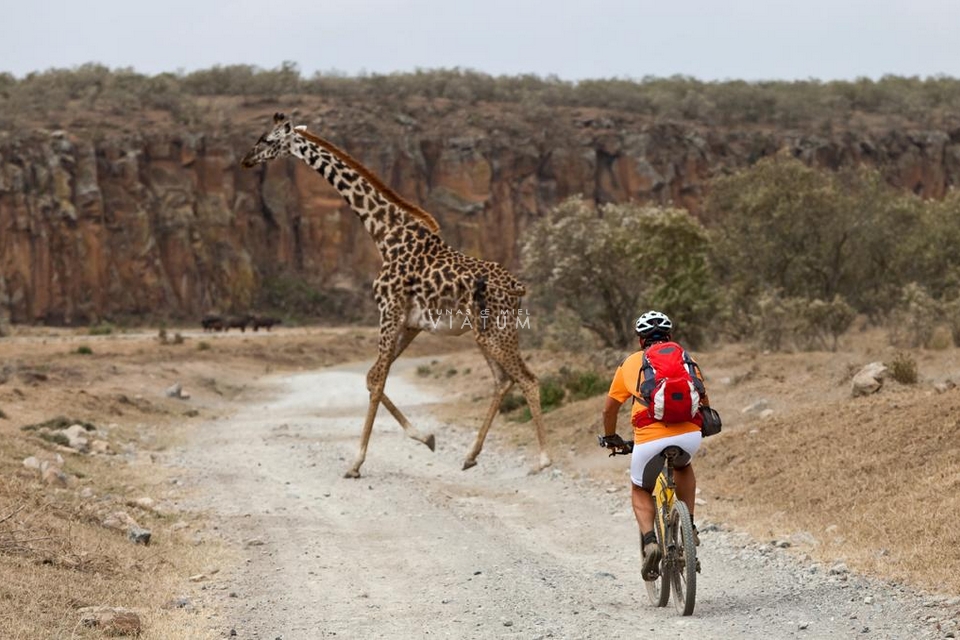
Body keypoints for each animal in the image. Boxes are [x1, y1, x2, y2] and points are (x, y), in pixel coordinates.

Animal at [242, 112, 548, 478]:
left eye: (268, 139)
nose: (246, 159)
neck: (384, 234)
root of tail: (518, 288)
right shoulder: (410, 322)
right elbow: (373, 376)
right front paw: (426, 437)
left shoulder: (389, 311)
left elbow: (377, 381)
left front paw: (356, 462)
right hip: (484, 333)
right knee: (503, 381)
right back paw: (471, 456)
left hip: (496, 332)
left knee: (528, 379)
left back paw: (543, 460)